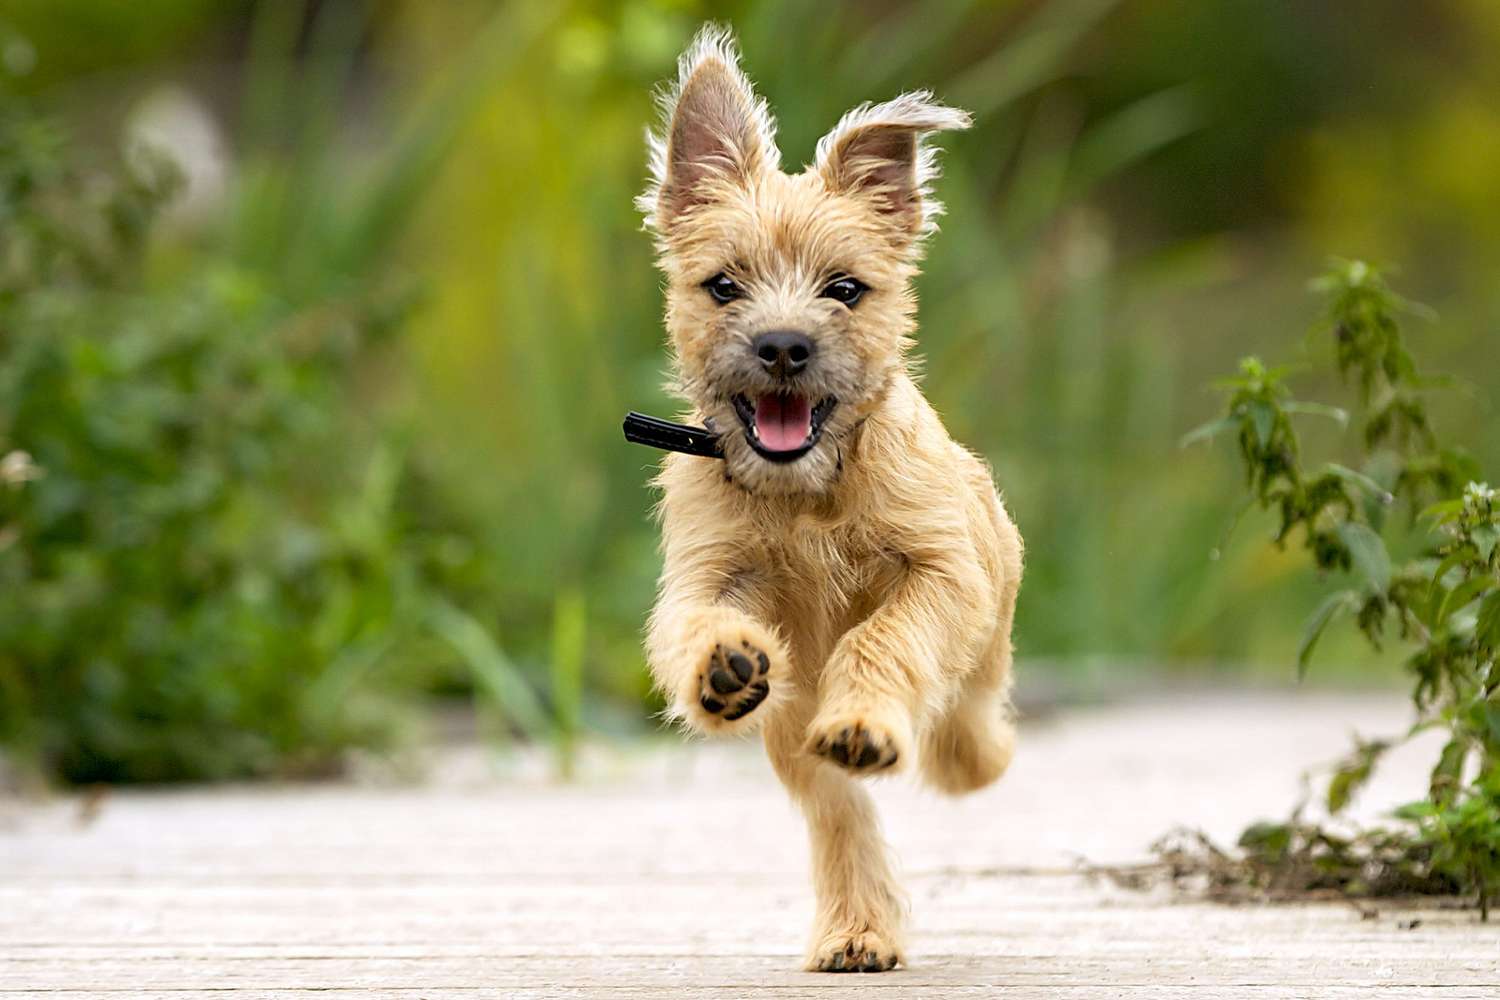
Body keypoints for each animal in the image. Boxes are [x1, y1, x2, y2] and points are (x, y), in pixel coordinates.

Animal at [633, 25, 1020, 977]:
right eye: (723, 286)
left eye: (844, 289)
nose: (782, 345)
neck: (805, 494)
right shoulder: (705, 575)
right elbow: (693, 625)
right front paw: (723, 664)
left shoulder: (942, 573)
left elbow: (883, 639)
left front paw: (872, 712)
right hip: (792, 734)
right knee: (839, 812)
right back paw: (857, 929)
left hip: (987, 630)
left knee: (968, 722)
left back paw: (954, 753)